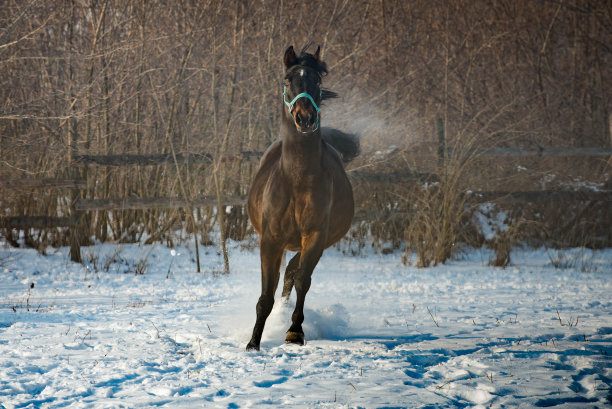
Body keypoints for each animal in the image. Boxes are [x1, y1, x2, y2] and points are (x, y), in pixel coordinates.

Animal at [245, 45, 358, 350]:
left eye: (317, 80)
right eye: (287, 80)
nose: (305, 118)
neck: (297, 179)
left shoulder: (315, 236)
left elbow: (302, 281)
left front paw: (294, 332)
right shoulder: (270, 240)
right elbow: (265, 295)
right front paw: (253, 343)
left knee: (293, 274)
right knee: (285, 276)